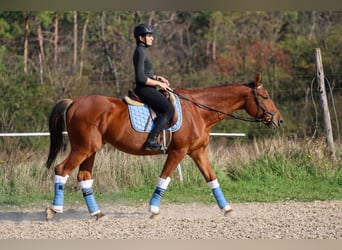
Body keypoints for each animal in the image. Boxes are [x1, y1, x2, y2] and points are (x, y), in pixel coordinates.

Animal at [44, 73, 282, 221]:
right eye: (265, 96)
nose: (279, 120)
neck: (199, 111)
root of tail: (75, 102)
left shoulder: (197, 152)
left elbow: (212, 179)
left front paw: (227, 209)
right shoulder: (178, 152)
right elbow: (164, 179)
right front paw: (153, 210)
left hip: (91, 150)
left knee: (84, 177)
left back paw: (97, 214)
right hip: (83, 148)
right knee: (61, 169)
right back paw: (54, 209)